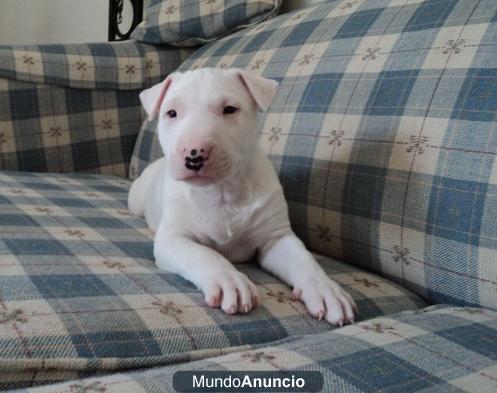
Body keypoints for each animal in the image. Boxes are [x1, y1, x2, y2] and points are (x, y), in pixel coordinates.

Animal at [126, 67, 354, 324]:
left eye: (229, 109)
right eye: (171, 113)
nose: (194, 154)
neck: (221, 192)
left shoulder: (276, 238)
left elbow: (304, 261)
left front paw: (327, 292)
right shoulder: (173, 238)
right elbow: (204, 254)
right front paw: (230, 281)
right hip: (136, 201)